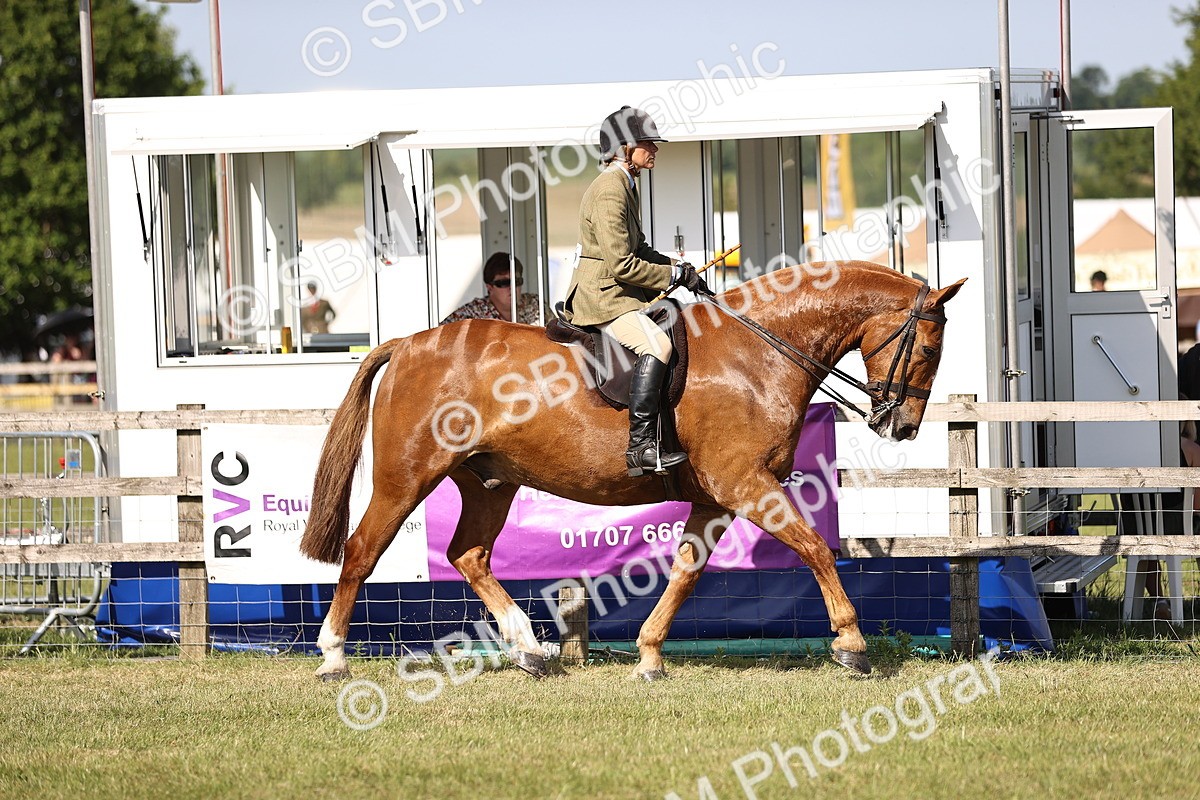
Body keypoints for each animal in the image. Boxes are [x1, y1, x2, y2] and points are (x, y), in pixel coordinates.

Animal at [300, 260, 966, 681]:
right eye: (930, 349)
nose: (902, 427)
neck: (761, 353)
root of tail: (409, 344)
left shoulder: (716, 498)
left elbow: (686, 573)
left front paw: (648, 655)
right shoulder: (746, 485)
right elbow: (814, 548)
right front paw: (851, 644)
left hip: (491, 482)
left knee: (469, 556)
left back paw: (530, 651)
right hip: (405, 478)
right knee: (362, 551)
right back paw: (333, 657)